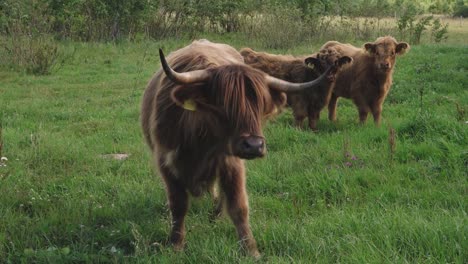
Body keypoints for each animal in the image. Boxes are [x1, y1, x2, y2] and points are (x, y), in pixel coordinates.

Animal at [141, 39, 334, 258]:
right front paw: (176, 244)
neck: (200, 141)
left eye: (260, 105)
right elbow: (178, 205)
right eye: (222, 105)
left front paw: (251, 250)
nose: (254, 145)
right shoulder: (166, 162)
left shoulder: (231, 163)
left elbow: (238, 205)